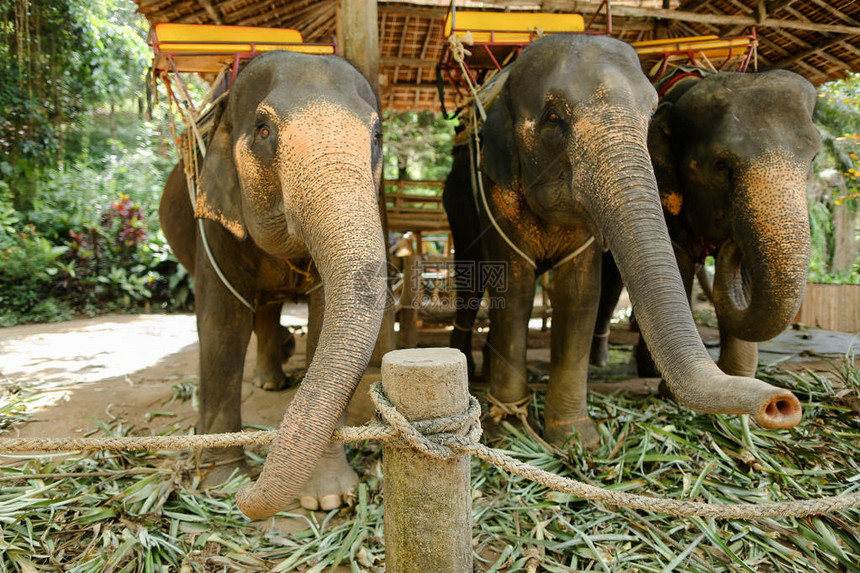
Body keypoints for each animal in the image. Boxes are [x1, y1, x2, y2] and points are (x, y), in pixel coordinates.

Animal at [160, 51, 388, 520]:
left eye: (376, 136)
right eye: (263, 130)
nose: (247, 498)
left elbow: (324, 321)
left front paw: (328, 497)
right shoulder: (214, 224)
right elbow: (221, 326)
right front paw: (220, 483)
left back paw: (272, 380)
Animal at [592, 69, 820, 378]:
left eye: (813, 158)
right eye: (721, 166)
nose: (730, 243)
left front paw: (736, 377)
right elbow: (677, 265)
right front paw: (663, 383)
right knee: (611, 281)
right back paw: (604, 359)